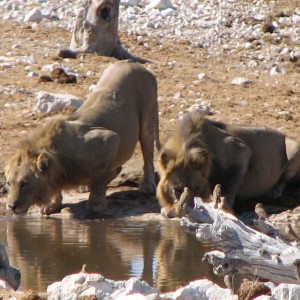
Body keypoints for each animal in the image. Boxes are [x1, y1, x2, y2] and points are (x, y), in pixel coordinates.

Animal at [5, 60, 159, 216]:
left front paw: (96, 203)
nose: (11, 206)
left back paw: (148, 185)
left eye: (24, 184)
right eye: (8, 183)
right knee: (117, 169)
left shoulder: (109, 139)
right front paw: (52, 204)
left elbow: (100, 180)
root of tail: (133, 63)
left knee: (147, 155)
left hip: (147, 116)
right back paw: (84, 186)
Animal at [157, 111, 300, 217]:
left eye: (196, 188)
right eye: (178, 190)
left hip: (294, 147)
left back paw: (272, 195)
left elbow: (229, 187)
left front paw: (226, 210)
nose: (190, 212)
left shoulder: (242, 151)